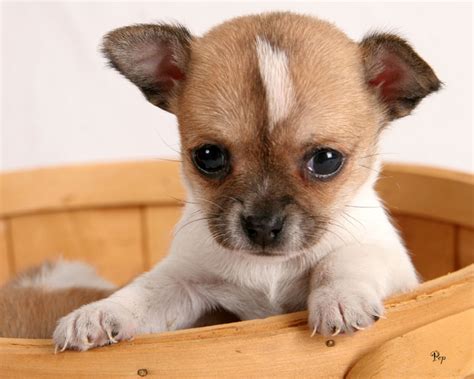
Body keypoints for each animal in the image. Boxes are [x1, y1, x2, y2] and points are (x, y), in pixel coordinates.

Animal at [52, 11, 440, 352]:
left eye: (326, 160)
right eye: (208, 156)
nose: (262, 226)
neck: (270, 269)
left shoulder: (385, 257)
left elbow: (342, 260)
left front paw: (338, 299)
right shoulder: (182, 280)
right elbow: (143, 293)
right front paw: (99, 313)